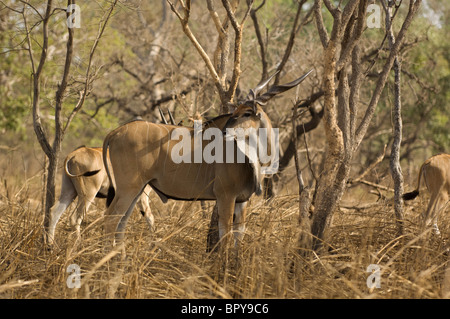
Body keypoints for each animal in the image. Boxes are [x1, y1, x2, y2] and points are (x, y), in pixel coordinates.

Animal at [102, 70, 312, 252]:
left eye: (247, 112)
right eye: (236, 111)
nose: (225, 130)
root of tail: (114, 133)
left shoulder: (242, 200)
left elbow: (238, 236)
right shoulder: (226, 196)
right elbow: (225, 237)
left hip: (138, 190)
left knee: (121, 223)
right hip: (129, 187)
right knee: (111, 220)